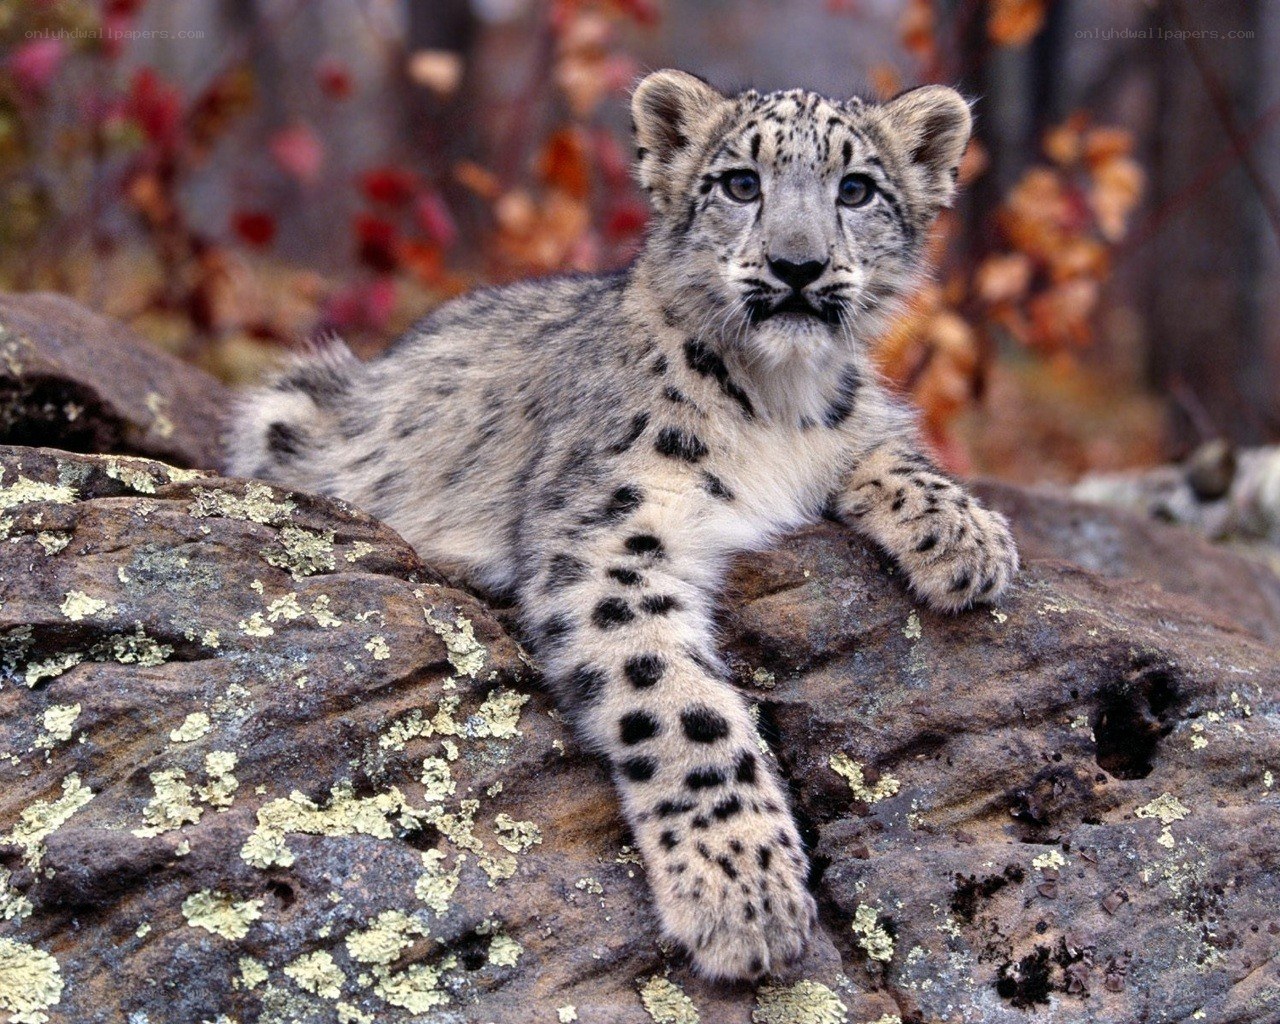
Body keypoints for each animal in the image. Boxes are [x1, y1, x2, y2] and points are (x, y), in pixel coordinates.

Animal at [225, 69, 1019, 981]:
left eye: (856, 190)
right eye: (739, 183)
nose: (798, 265)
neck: (778, 404)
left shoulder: (850, 427)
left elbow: (886, 444)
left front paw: (969, 539)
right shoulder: (610, 537)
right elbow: (682, 708)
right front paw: (744, 892)